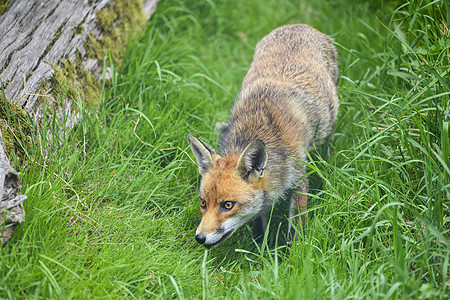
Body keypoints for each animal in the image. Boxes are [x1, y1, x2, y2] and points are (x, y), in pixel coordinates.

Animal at [186, 24, 338, 248]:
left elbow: (295, 230)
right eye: (203, 203)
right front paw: (260, 252)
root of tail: (299, 25)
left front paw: (291, 253)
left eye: (228, 205)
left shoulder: (299, 180)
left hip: (328, 125)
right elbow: (259, 227)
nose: (200, 238)